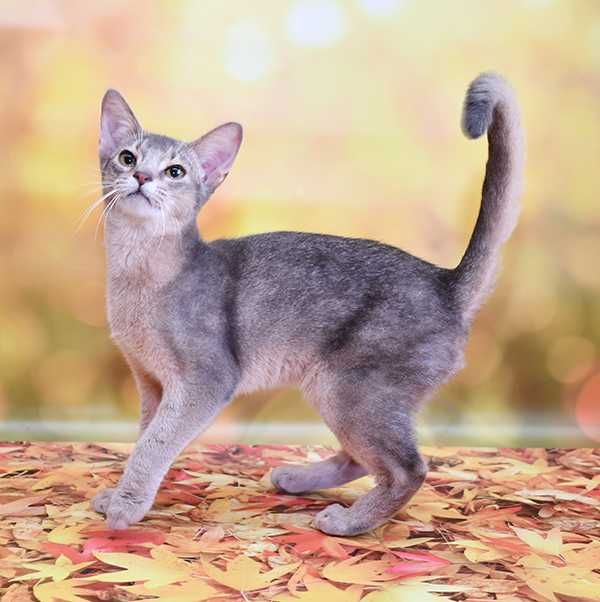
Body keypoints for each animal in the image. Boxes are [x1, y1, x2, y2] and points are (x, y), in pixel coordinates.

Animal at [91, 72, 524, 536]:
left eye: (175, 171)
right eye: (126, 157)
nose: (141, 175)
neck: (139, 273)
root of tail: (444, 280)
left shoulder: (204, 380)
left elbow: (154, 445)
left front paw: (127, 505)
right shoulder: (150, 382)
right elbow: (144, 437)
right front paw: (119, 494)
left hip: (348, 387)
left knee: (409, 468)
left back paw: (350, 521)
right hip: (345, 392)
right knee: (362, 459)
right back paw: (299, 479)